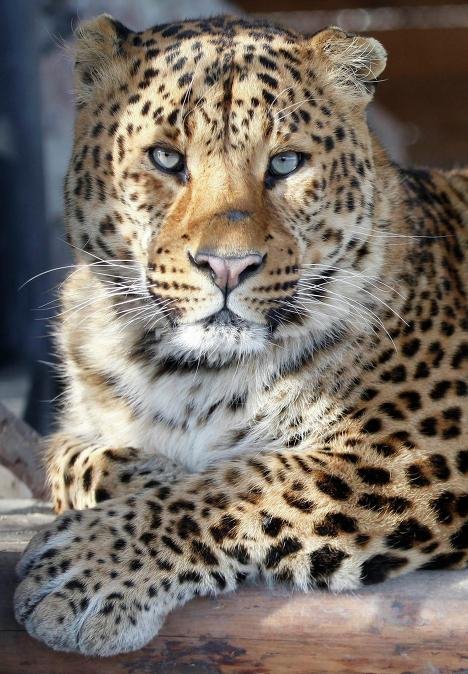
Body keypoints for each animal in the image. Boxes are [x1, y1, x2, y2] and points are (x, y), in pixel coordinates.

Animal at [14, 14, 467, 656]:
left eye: (285, 164)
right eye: (165, 158)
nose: (227, 267)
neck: (182, 373)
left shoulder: (415, 452)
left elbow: (247, 483)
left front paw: (86, 572)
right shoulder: (77, 421)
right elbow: (69, 459)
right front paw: (146, 473)